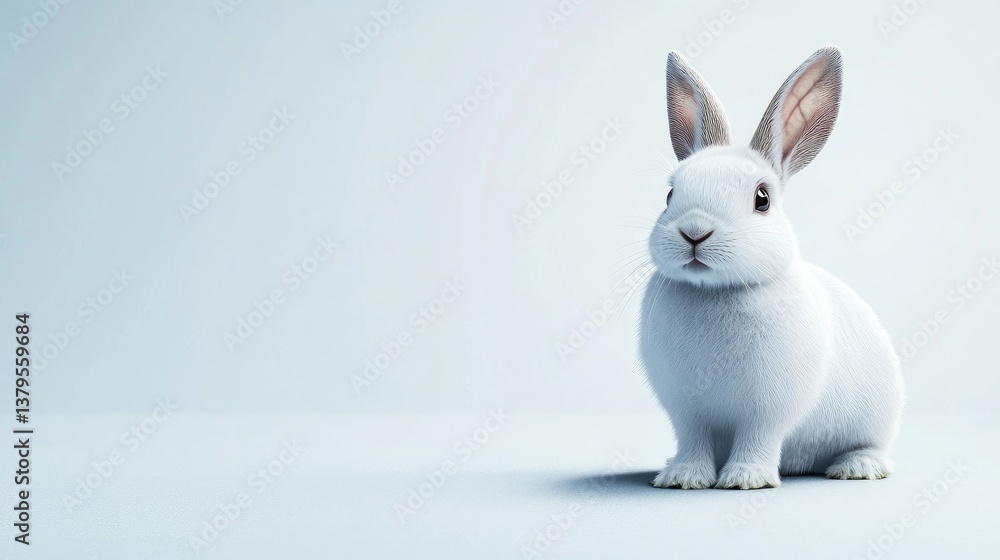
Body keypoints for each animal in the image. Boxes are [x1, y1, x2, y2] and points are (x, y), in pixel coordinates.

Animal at [641, 46, 904, 490]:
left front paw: (745, 479)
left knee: (869, 446)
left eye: (762, 199)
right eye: (670, 195)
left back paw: (856, 468)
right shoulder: (687, 411)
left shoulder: (768, 409)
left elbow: (757, 437)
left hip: (876, 417)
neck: (716, 291)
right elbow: (693, 441)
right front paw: (683, 477)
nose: (694, 232)